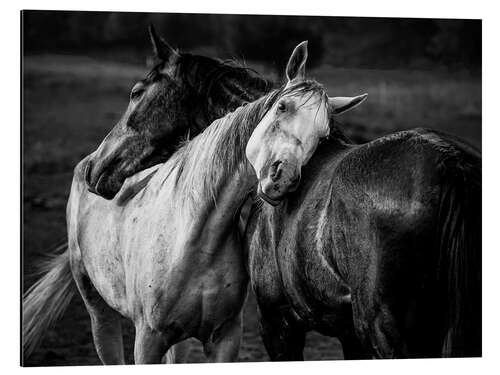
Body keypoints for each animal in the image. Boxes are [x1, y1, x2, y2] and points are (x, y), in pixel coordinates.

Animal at [246, 47, 480, 362]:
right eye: (282, 107)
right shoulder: (348, 334)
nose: (282, 178)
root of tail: (450, 160)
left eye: (322, 134)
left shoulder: (278, 324)